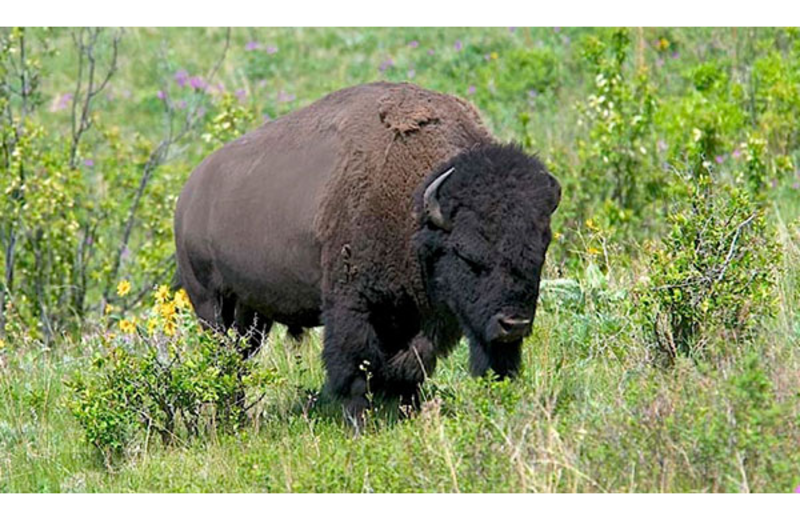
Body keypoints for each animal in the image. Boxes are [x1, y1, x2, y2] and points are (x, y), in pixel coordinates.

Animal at [177, 81, 564, 422]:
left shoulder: (421, 317)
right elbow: (356, 368)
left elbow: (412, 365)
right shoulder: (355, 305)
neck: (415, 210)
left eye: (539, 253)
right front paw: (359, 421)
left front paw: (408, 410)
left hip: (252, 314)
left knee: (240, 358)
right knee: (222, 358)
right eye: (467, 255)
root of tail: (188, 194)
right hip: (210, 304)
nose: (513, 325)